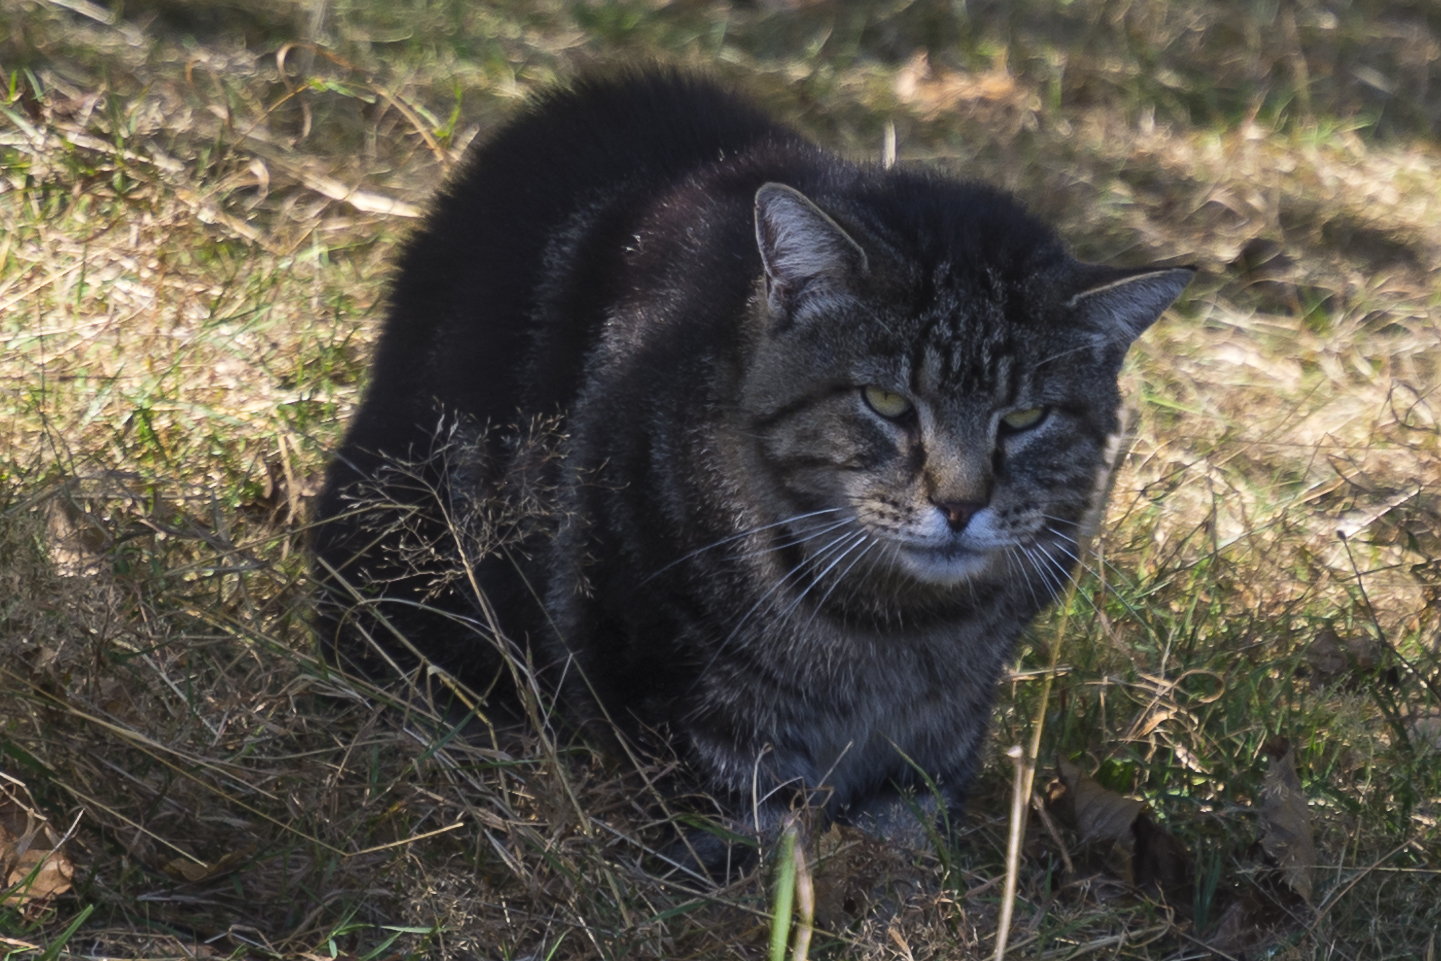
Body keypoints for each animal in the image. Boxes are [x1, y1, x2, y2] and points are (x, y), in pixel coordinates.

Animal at [315, 67, 1193, 858]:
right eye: (885, 401)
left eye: (1024, 417)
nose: (958, 503)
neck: (893, 627)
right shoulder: (690, 721)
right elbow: (766, 853)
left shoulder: (934, 748)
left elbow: (907, 842)